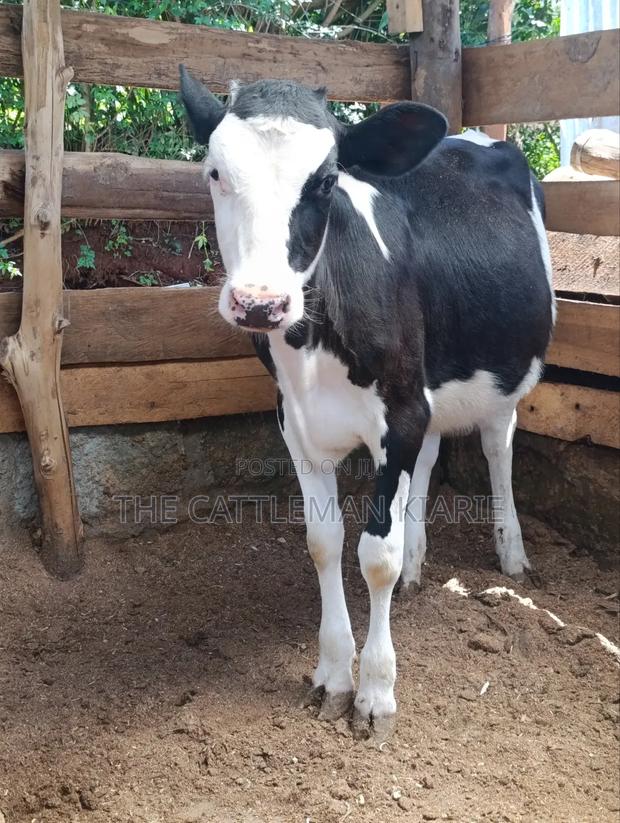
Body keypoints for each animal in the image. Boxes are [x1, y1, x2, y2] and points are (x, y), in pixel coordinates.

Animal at [179, 67, 554, 741]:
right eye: (215, 172)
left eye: (326, 181)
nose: (259, 303)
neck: (313, 349)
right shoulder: (298, 424)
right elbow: (324, 543)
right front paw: (333, 674)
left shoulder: (399, 416)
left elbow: (375, 556)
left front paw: (376, 692)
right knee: (430, 460)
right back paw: (419, 566)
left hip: (500, 380)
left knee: (497, 447)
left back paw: (512, 555)